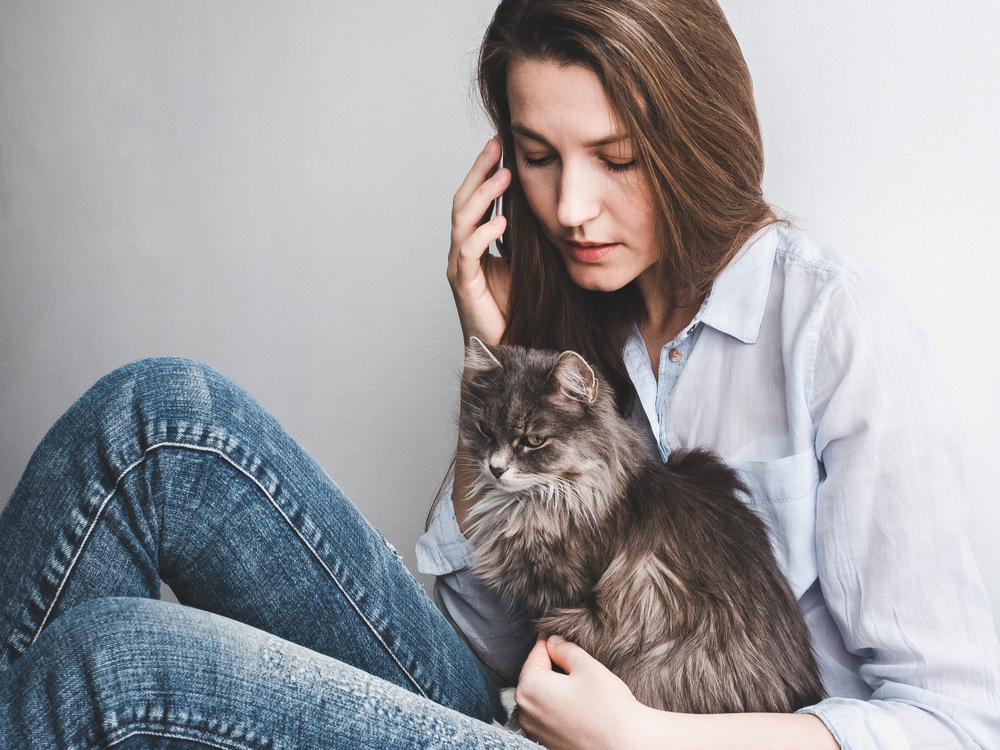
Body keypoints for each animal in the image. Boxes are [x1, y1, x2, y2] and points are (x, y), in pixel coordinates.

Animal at [458, 338, 820, 712]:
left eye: (533, 441)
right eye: (486, 431)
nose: (496, 468)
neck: (535, 502)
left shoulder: (564, 600)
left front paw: (516, 710)